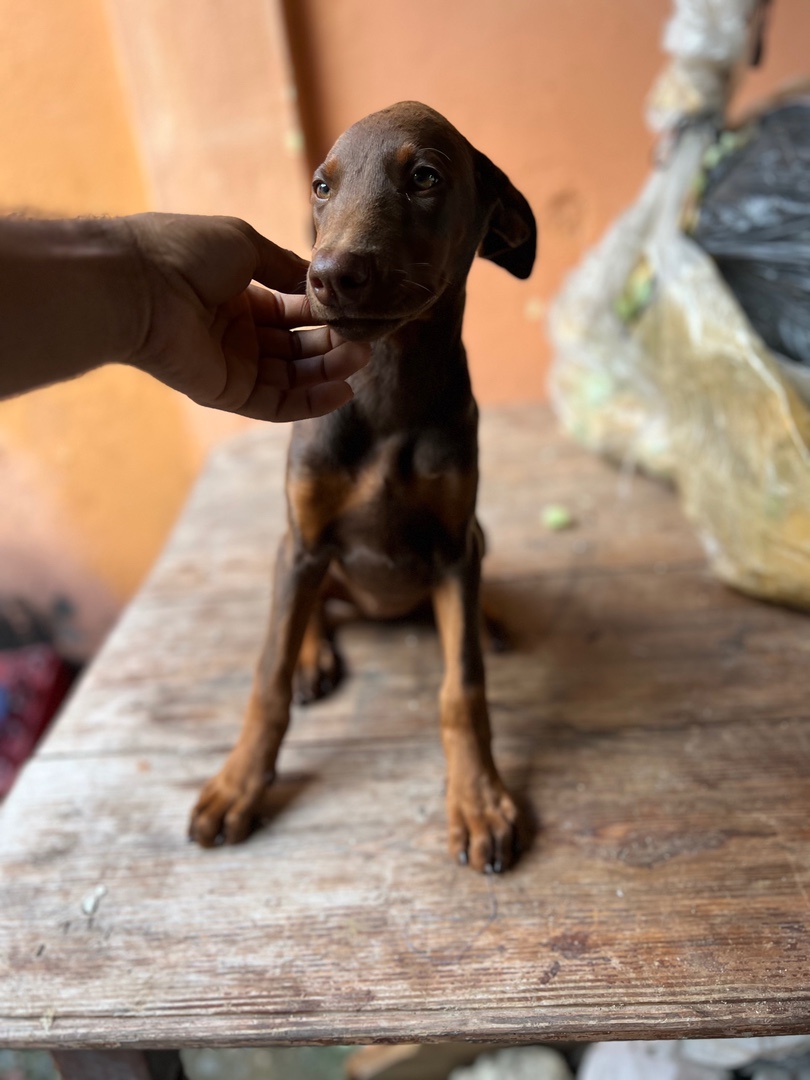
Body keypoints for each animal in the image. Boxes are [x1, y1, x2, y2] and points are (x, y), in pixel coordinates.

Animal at [186, 101, 535, 872]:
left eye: (425, 176)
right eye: (322, 186)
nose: (330, 275)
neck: (389, 388)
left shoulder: (453, 546)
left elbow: (462, 687)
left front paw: (478, 799)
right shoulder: (306, 537)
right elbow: (267, 677)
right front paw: (238, 784)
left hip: (474, 536)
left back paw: (492, 617)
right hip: (295, 549)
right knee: (310, 607)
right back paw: (314, 652)